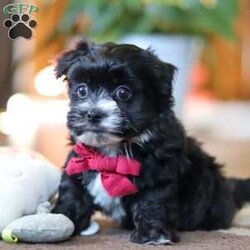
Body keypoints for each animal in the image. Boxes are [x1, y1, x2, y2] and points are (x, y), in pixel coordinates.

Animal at [52, 40, 250, 245]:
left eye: (123, 93)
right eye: (82, 90)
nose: (93, 114)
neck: (112, 150)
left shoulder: (159, 172)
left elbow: (153, 202)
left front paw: (153, 236)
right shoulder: (78, 161)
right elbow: (73, 194)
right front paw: (62, 219)